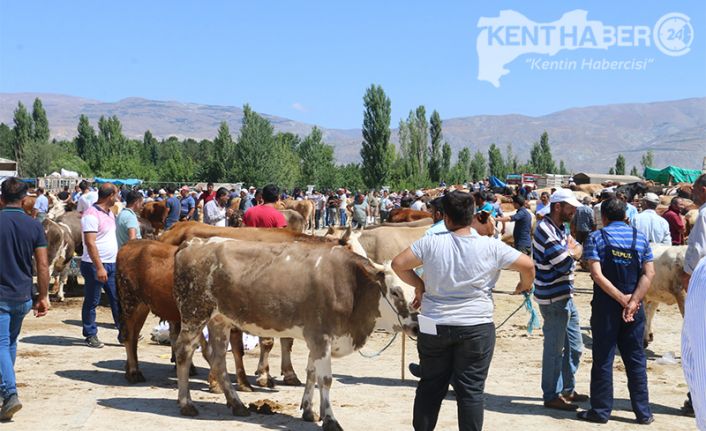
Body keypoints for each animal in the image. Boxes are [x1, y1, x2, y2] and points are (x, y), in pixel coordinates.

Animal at [171, 238, 416, 430]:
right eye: (396, 292)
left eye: (416, 291)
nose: (415, 326)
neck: (352, 285)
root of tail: (195, 242)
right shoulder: (320, 337)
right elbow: (325, 379)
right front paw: (330, 420)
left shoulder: (316, 340)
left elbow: (311, 374)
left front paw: (308, 411)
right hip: (194, 313)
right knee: (184, 352)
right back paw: (186, 404)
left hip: (219, 320)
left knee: (219, 360)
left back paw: (237, 404)